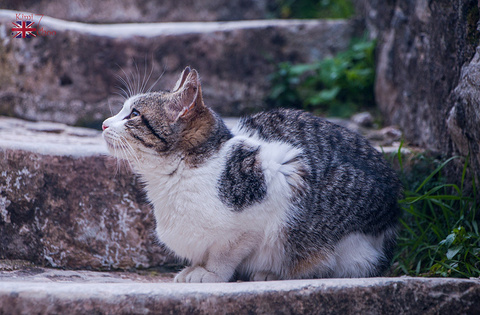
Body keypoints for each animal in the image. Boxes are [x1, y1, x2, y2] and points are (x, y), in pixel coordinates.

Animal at [102, 66, 402, 284]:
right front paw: (195, 268)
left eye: (134, 114)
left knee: (332, 263)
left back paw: (275, 273)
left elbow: (225, 253)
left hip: (346, 238)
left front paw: (211, 273)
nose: (104, 123)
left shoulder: (278, 182)